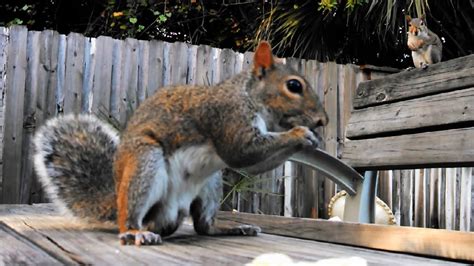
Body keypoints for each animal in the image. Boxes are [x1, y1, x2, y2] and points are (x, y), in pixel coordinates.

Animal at [34, 40, 330, 246]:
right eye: (294, 85)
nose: (323, 120)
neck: (249, 97)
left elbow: (251, 166)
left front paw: (309, 140)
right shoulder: (227, 118)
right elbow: (241, 152)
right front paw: (300, 134)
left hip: (210, 185)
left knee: (203, 226)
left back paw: (232, 228)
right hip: (145, 161)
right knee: (131, 217)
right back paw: (135, 232)